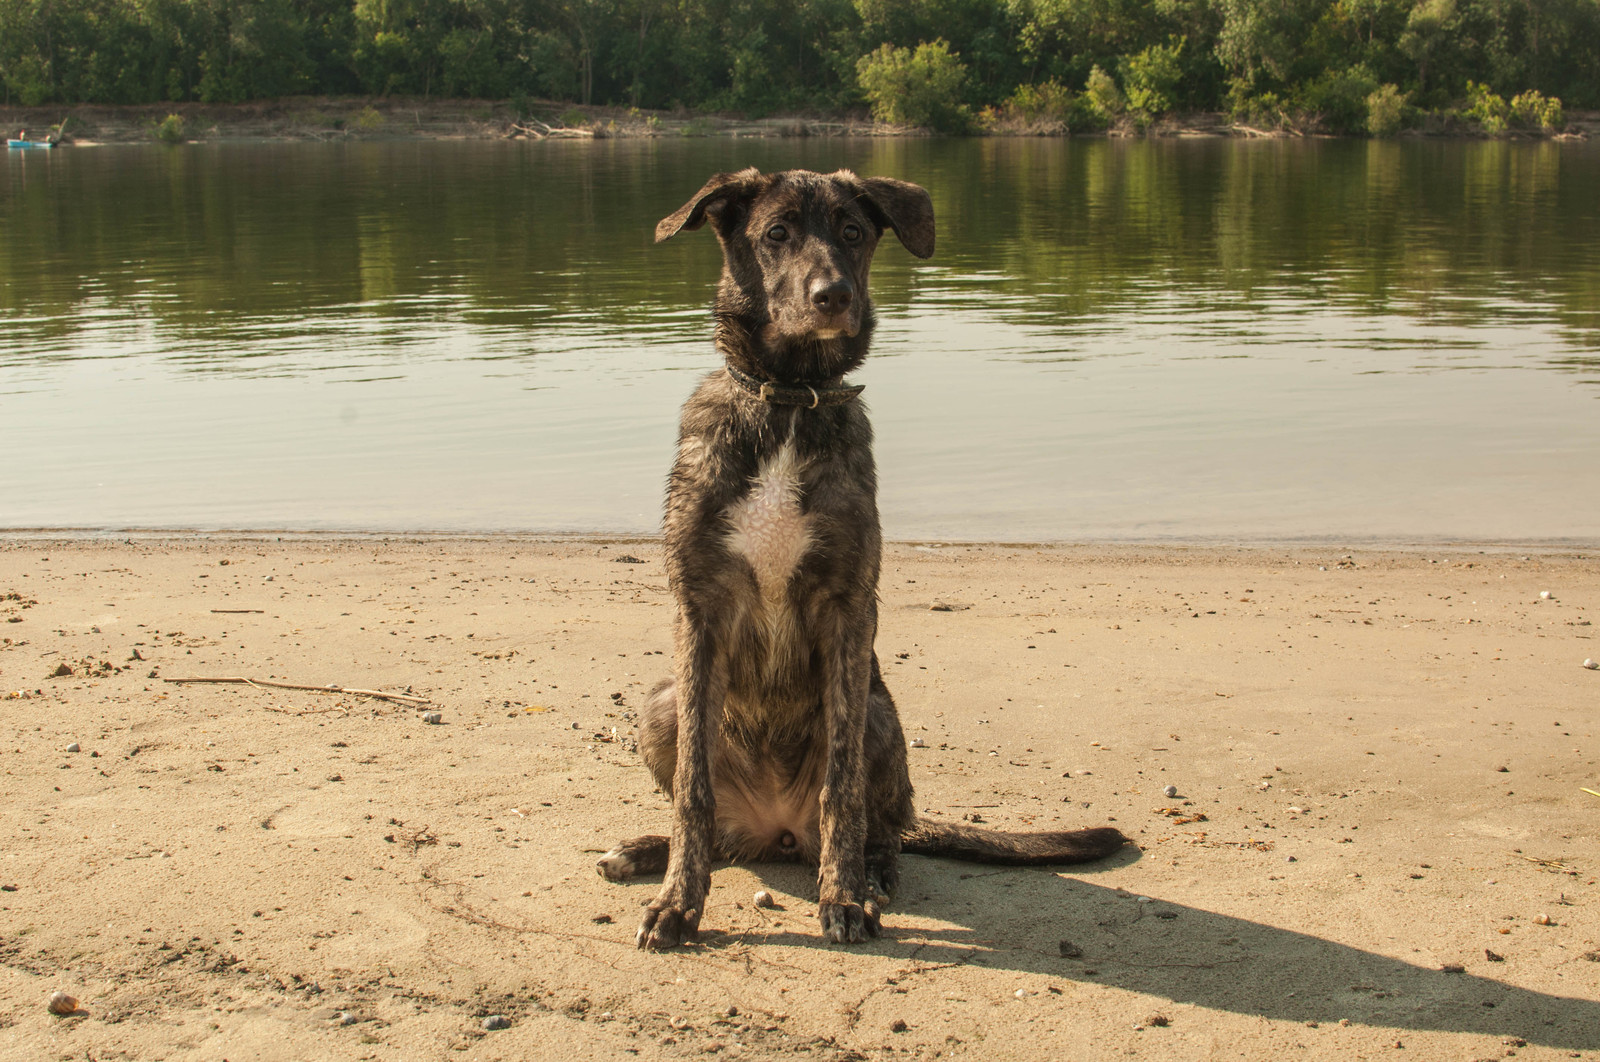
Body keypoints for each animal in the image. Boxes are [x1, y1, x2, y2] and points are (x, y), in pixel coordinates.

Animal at [595, 170, 1132, 946]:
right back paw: (647, 849)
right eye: (777, 233)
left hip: (880, 716)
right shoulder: (698, 609)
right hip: (659, 702)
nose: (834, 295)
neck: (789, 402)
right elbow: (692, 789)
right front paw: (677, 902)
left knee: (883, 827)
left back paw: (870, 870)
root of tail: (774, 833)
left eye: (853, 232)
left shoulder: (847, 609)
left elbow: (840, 788)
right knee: (713, 824)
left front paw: (843, 897)